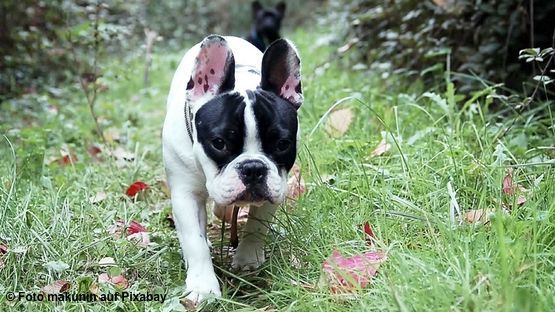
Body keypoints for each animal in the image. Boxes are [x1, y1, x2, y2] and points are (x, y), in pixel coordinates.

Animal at [163, 35, 304, 304]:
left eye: (282, 144)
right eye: (219, 143)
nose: (253, 168)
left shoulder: (276, 186)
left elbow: (257, 226)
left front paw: (248, 259)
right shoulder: (185, 194)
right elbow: (194, 241)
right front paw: (203, 287)